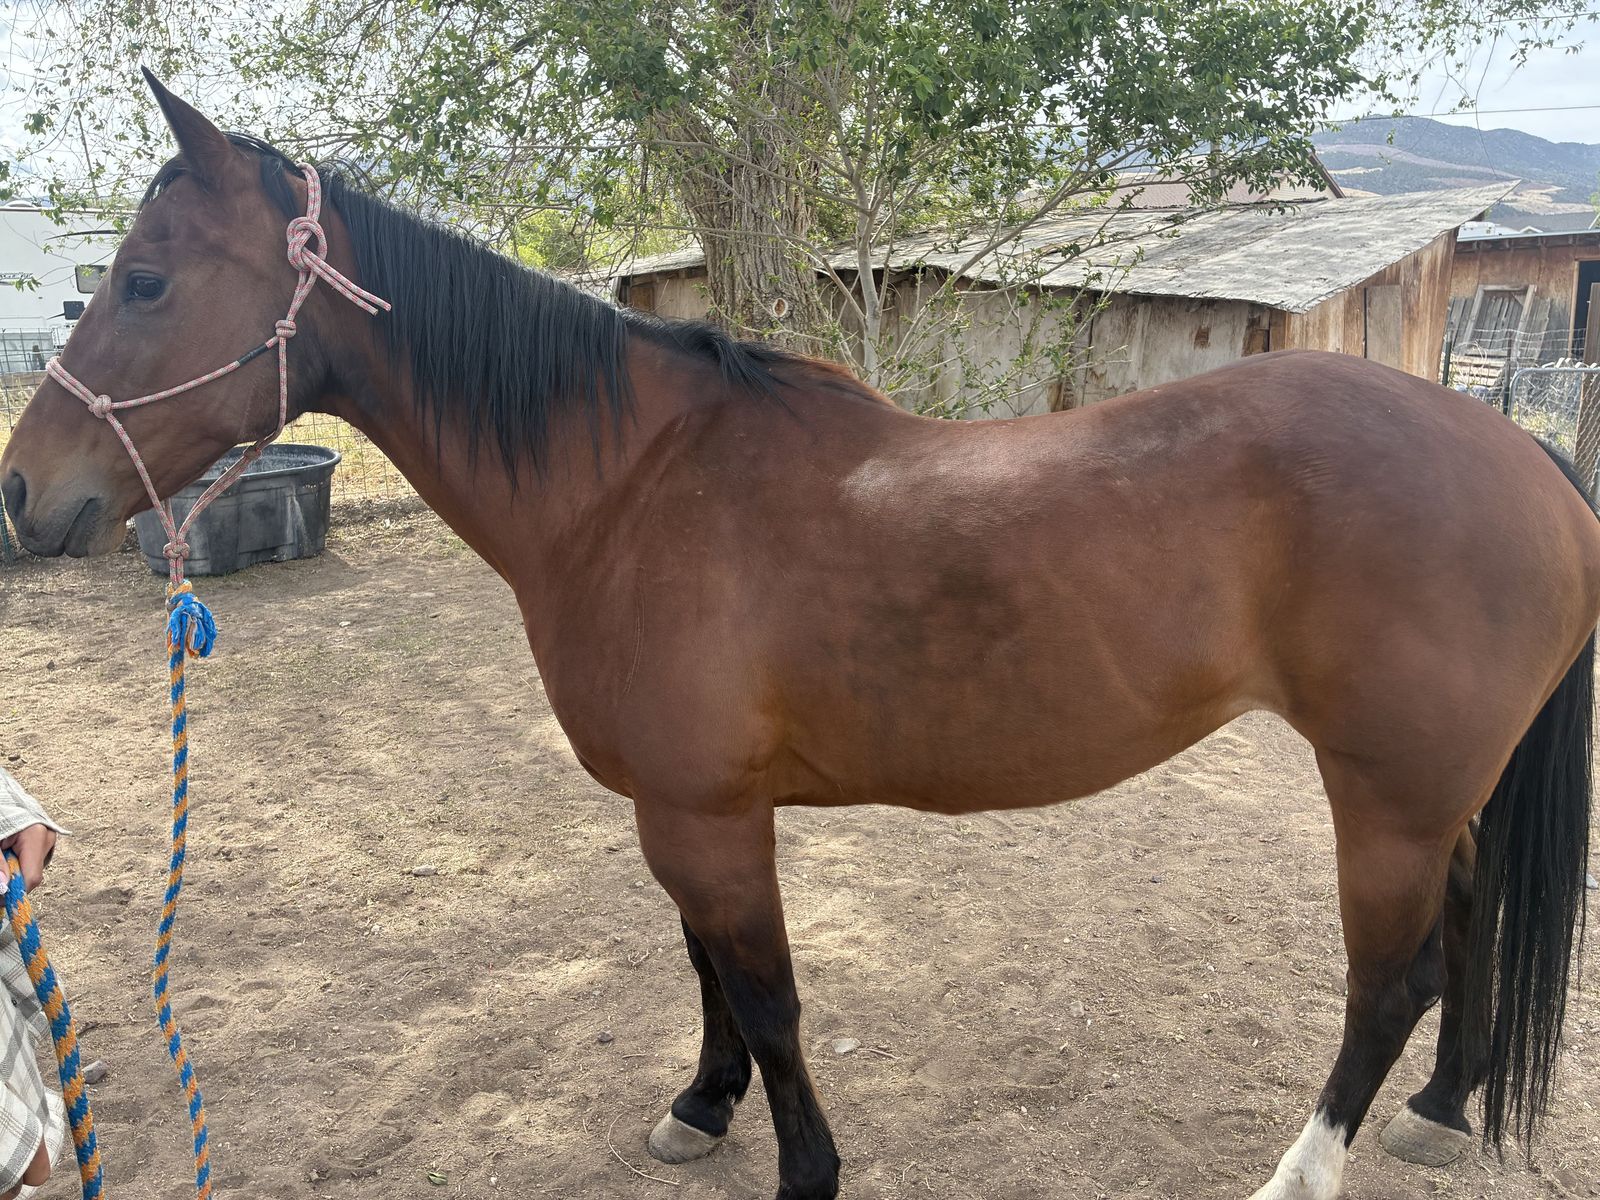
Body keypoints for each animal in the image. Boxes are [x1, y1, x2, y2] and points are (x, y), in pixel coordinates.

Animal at [2, 75, 1594, 1200]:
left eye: (144, 281)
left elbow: (767, 994)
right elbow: (707, 969)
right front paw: (700, 1109)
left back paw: (1304, 1169)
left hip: (1381, 798)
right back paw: (1443, 1111)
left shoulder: (709, 814)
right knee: (1466, 921)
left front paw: (803, 1166)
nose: (24, 492)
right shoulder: (687, 808)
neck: (631, 486)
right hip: (1428, 796)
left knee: (1391, 979)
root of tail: (1523, 457)